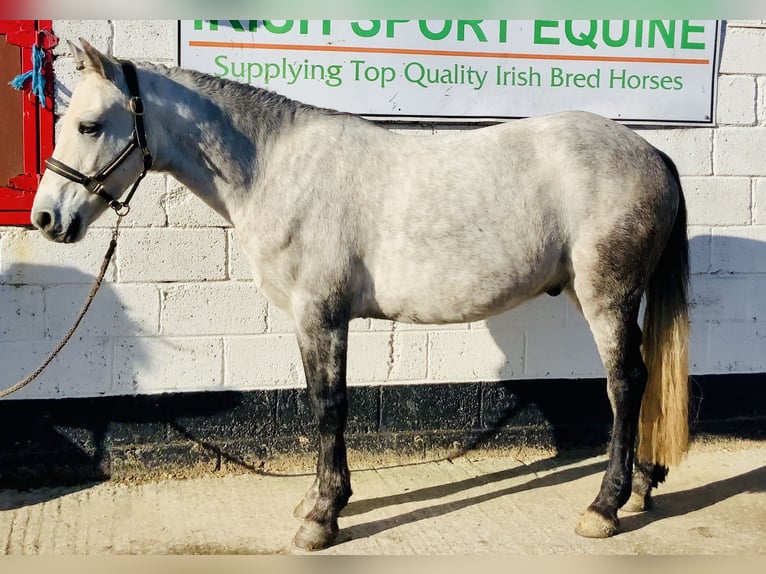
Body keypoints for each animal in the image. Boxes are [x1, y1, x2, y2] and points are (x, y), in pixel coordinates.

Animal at [31, 39, 690, 551]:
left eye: (89, 125)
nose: (46, 218)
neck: (274, 168)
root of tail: (651, 151)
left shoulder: (320, 313)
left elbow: (329, 405)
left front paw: (323, 517)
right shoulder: (311, 318)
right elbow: (321, 402)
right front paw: (318, 501)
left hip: (606, 296)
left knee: (626, 383)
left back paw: (604, 507)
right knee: (642, 377)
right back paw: (641, 490)